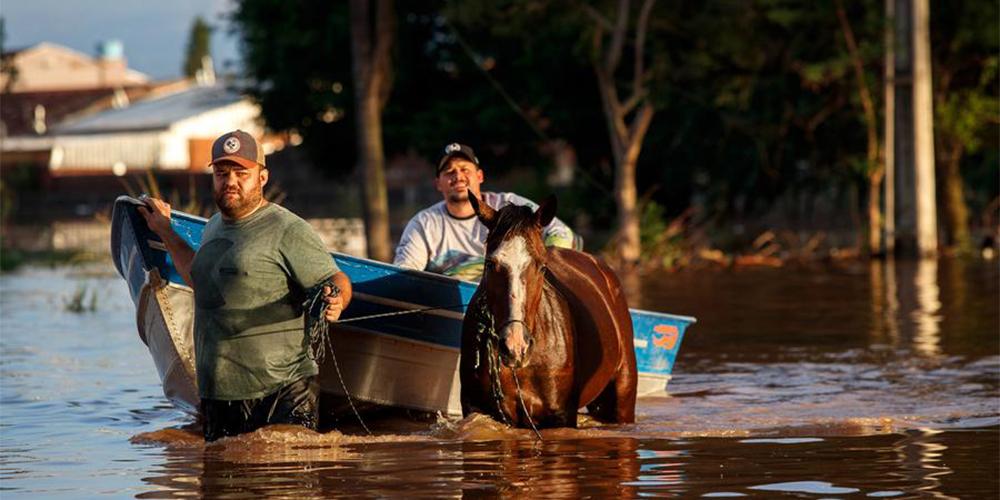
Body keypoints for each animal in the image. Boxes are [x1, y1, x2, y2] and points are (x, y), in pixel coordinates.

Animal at [458, 192, 636, 430]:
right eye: (489, 264)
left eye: (542, 266)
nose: (515, 347)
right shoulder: (477, 408)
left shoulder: (561, 415)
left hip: (622, 399)